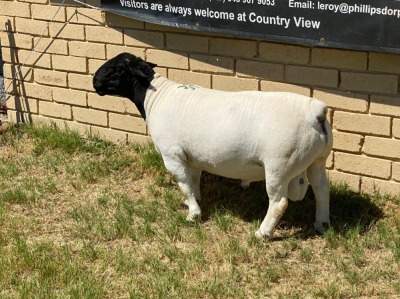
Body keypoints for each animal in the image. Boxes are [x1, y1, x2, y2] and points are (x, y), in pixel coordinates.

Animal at [92, 52, 332, 239]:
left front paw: (193, 215)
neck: (156, 97)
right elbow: (193, 180)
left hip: (279, 164)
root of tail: (316, 111)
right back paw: (321, 224)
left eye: (118, 69)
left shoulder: (172, 155)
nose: (94, 81)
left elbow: (184, 184)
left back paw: (262, 233)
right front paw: (194, 202)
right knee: (321, 189)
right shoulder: (193, 156)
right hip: (317, 160)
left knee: (279, 202)